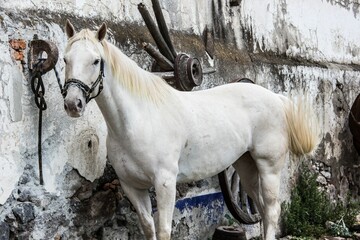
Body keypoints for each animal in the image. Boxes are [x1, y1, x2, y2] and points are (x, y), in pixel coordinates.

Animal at [62, 21, 320, 240]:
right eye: (65, 60)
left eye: (96, 61)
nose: (73, 104)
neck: (138, 120)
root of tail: (276, 98)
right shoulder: (132, 187)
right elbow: (148, 228)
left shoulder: (165, 183)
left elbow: (164, 230)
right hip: (245, 166)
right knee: (263, 209)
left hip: (269, 168)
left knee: (272, 211)